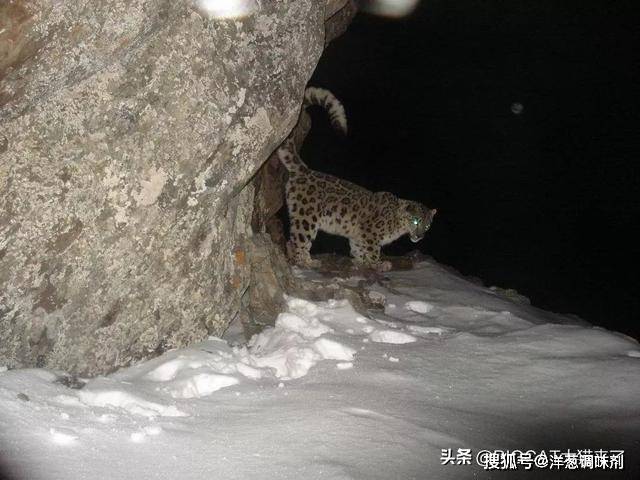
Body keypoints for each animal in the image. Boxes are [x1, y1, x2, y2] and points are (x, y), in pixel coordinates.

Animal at [278, 88, 438, 272]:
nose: (419, 236)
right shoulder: (370, 232)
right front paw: (378, 264)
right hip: (306, 217)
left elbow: (358, 248)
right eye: (415, 220)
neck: (397, 226)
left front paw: (361, 262)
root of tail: (305, 170)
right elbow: (373, 249)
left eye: (428, 225)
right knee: (299, 240)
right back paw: (307, 262)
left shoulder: (358, 235)